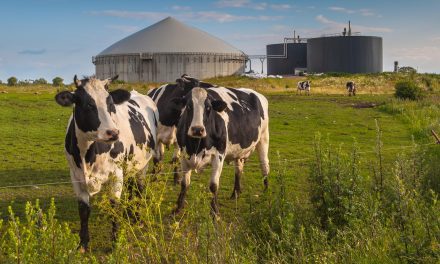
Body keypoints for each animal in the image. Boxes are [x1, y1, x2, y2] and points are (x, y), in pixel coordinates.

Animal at [54, 75, 158, 252]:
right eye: (88, 104)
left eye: (110, 104)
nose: (113, 133)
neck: (87, 155)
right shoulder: (75, 176)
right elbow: (83, 210)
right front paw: (83, 244)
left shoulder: (116, 174)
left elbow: (114, 206)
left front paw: (115, 243)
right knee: (131, 187)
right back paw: (130, 214)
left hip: (143, 165)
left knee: (139, 188)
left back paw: (137, 218)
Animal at [171, 87, 268, 216]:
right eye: (188, 106)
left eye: (208, 108)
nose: (197, 129)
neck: (197, 146)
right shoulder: (183, 155)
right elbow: (184, 183)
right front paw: (178, 208)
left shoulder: (219, 155)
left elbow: (213, 185)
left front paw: (215, 212)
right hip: (239, 153)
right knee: (238, 170)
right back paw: (235, 193)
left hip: (264, 138)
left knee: (264, 165)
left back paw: (266, 191)